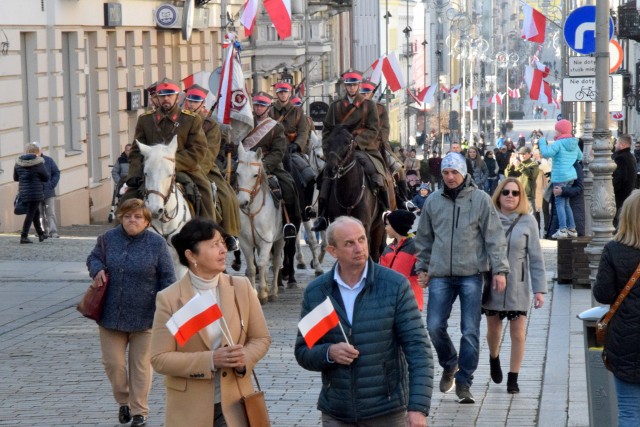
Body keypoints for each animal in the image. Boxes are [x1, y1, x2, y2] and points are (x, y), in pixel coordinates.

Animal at [235, 144, 284, 304]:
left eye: (255, 175)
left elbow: (262, 264)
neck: (252, 210)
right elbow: (251, 268)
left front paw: (262, 294)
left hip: (280, 239)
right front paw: (254, 293)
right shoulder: (245, 241)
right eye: (237, 173)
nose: (242, 202)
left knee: (275, 263)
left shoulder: (266, 240)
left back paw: (273, 292)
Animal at [324, 126, 384, 260]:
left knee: (375, 253)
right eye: (328, 141)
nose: (331, 169)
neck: (348, 193)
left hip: (379, 226)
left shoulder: (364, 226)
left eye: (347, 142)